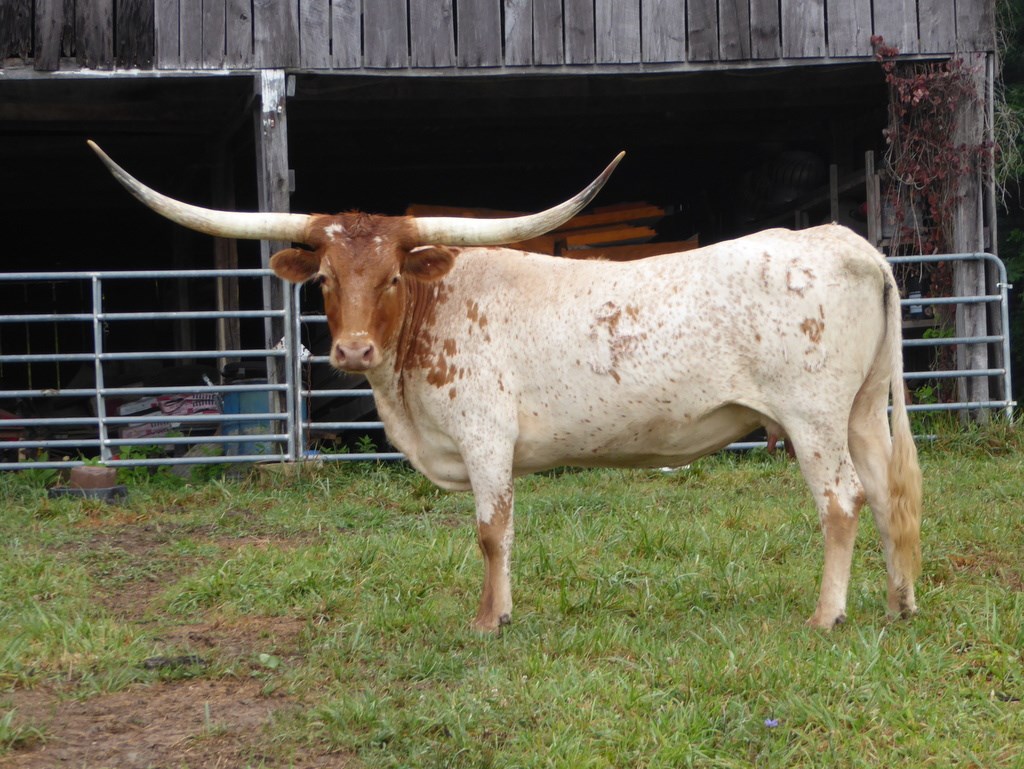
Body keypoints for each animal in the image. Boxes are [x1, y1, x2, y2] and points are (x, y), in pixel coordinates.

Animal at [88, 141, 922, 632]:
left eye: (391, 276)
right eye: (324, 279)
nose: (353, 349)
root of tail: (846, 242)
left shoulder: (485, 435)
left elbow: (492, 529)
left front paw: (490, 620)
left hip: (812, 415)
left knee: (842, 500)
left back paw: (826, 615)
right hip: (860, 410)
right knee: (888, 495)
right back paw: (898, 601)